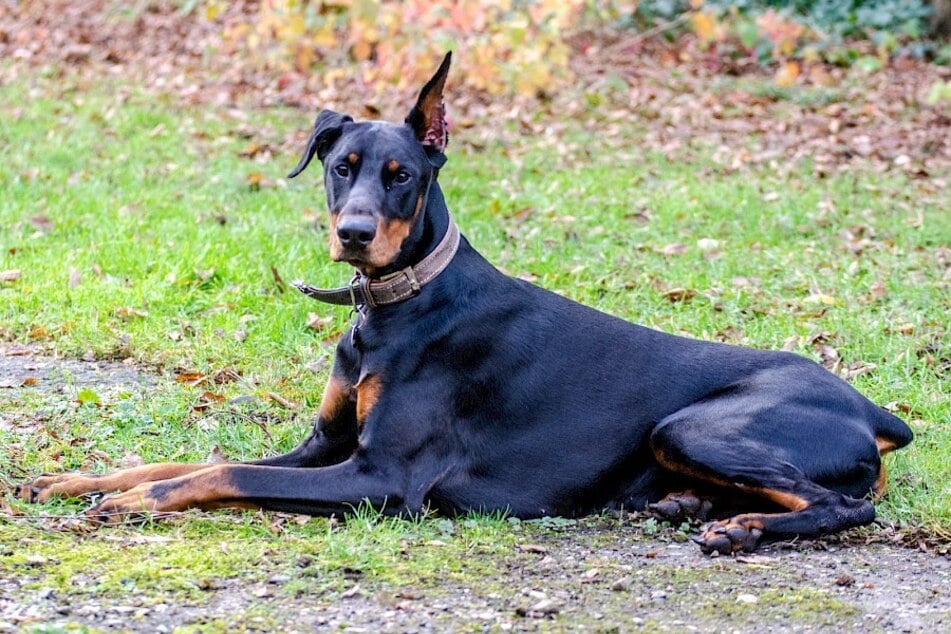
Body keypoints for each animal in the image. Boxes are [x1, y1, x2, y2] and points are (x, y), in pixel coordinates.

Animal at [14, 51, 912, 552]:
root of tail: (873, 409)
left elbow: (220, 471)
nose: (354, 234)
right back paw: (695, 506)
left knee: (847, 507)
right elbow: (190, 460)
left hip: (693, 425)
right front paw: (78, 478)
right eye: (339, 165)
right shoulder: (322, 446)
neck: (391, 309)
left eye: (401, 175)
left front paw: (131, 501)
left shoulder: (379, 478)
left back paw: (742, 530)